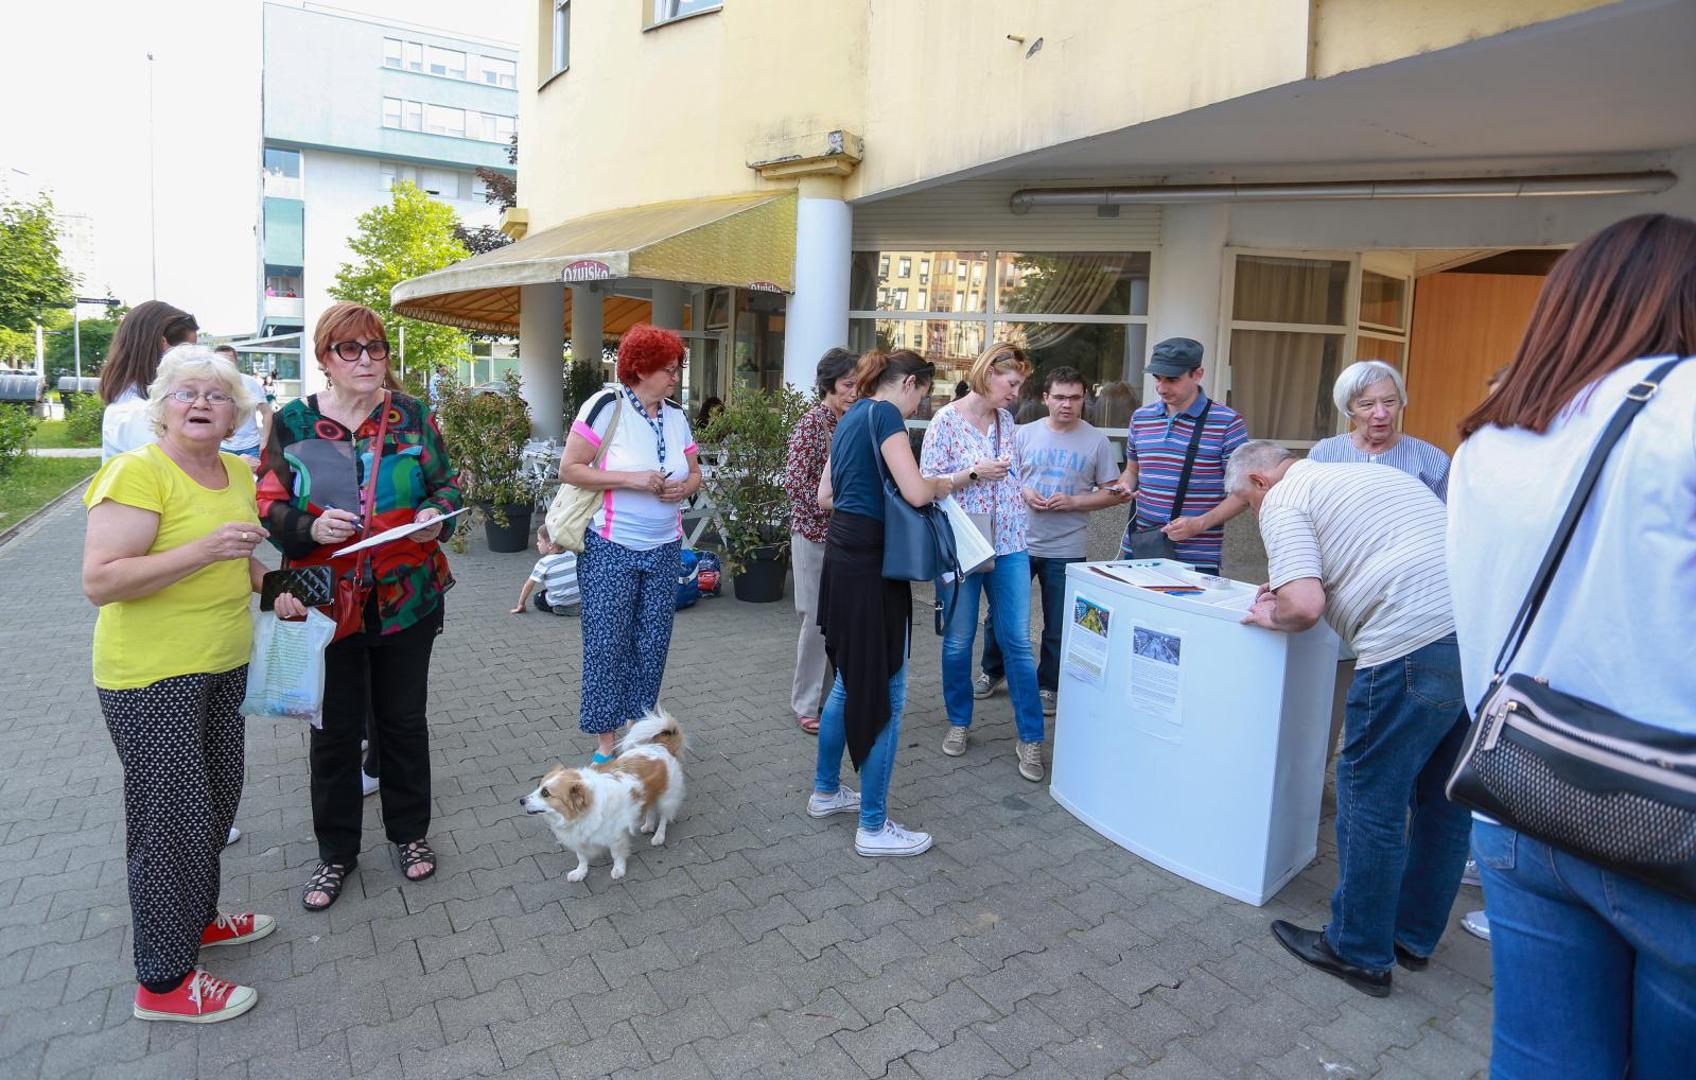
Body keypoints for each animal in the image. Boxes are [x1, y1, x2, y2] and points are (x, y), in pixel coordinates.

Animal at [519, 710, 685, 881]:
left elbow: (616, 855)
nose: (521, 801)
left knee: (664, 817)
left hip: (667, 798)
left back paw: (658, 836)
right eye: (538, 786)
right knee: (651, 809)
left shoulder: (615, 836)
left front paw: (618, 870)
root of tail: (660, 747)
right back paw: (648, 825)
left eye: (546, 793)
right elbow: (581, 857)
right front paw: (580, 872)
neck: (581, 814)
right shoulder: (579, 839)